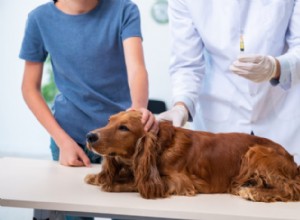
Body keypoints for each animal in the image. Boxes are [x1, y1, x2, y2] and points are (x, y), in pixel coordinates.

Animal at [84, 111, 300, 202]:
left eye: (124, 128)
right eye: (109, 121)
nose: (89, 136)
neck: (161, 146)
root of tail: (293, 162)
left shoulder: (180, 182)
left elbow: (137, 181)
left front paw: (111, 183)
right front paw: (97, 176)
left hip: (256, 151)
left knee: (291, 188)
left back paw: (254, 192)